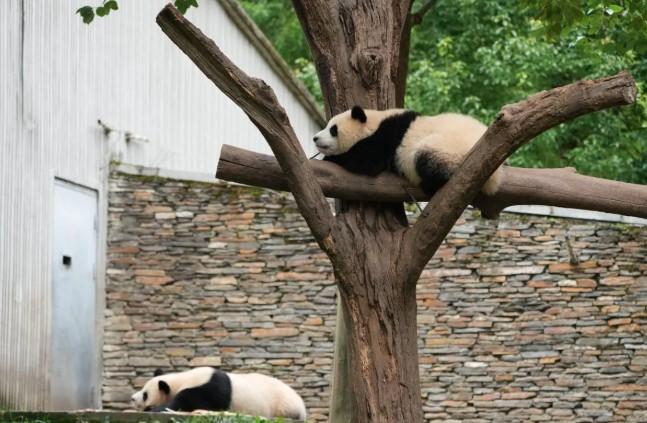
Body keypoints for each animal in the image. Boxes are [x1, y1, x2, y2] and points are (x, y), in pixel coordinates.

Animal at [130, 367, 306, 421]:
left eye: (145, 394)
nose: (132, 398)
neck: (181, 379)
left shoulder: (207, 389)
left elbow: (184, 403)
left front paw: (155, 409)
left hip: (284, 406)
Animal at [312, 106, 503, 196]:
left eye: (333, 130)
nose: (315, 138)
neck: (374, 121)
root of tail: (495, 176)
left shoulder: (385, 137)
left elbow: (367, 162)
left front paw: (330, 159)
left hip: (451, 150)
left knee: (427, 160)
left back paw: (431, 184)